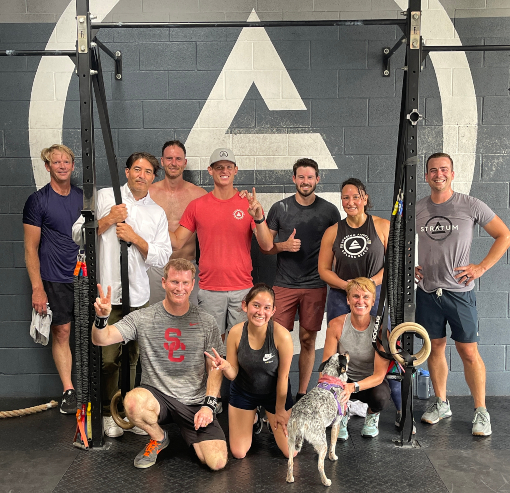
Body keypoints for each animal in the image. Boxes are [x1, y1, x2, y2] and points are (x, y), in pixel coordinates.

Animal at [286, 352, 349, 487]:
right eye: (343, 356)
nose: (347, 351)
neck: (331, 377)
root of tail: (300, 418)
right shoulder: (336, 424)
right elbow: (333, 444)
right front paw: (333, 457)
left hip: (291, 441)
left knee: (290, 462)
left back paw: (290, 478)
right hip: (323, 442)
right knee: (320, 466)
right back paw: (326, 481)